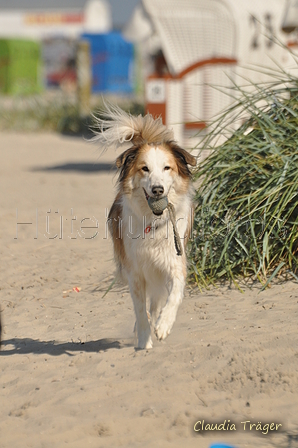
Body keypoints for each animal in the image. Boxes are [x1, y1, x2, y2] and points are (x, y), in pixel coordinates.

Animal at [93, 106, 196, 350]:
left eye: (167, 168)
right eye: (144, 169)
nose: (158, 190)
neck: (153, 223)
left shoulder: (174, 263)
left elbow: (173, 296)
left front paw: (164, 326)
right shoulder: (135, 271)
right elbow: (140, 311)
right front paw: (143, 340)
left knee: (156, 302)